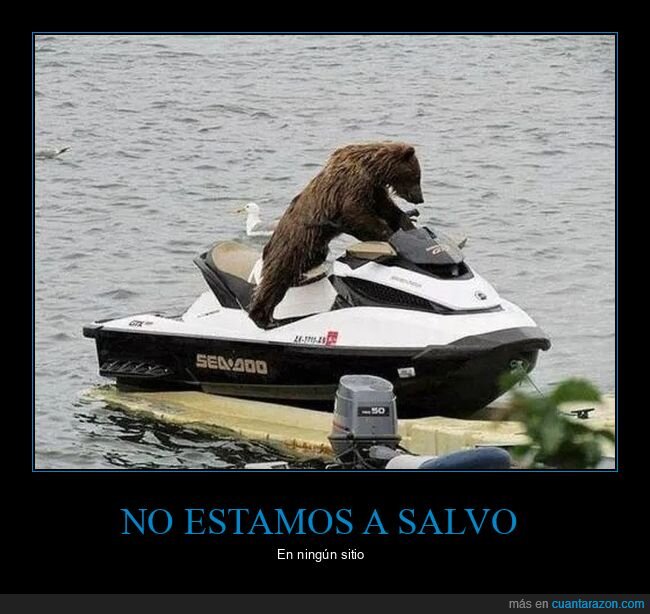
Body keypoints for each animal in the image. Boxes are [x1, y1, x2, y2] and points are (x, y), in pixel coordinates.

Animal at [247, 142, 424, 327]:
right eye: (417, 176)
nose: (420, 198)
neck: (371, 168)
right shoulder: (351, 186)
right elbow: (357, 214)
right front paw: (388, 235)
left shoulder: (374, 189)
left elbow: (387, 208)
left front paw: (407, 223)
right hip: (292, 246)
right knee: (275, 279)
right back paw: (262, 318)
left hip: (314, 247)